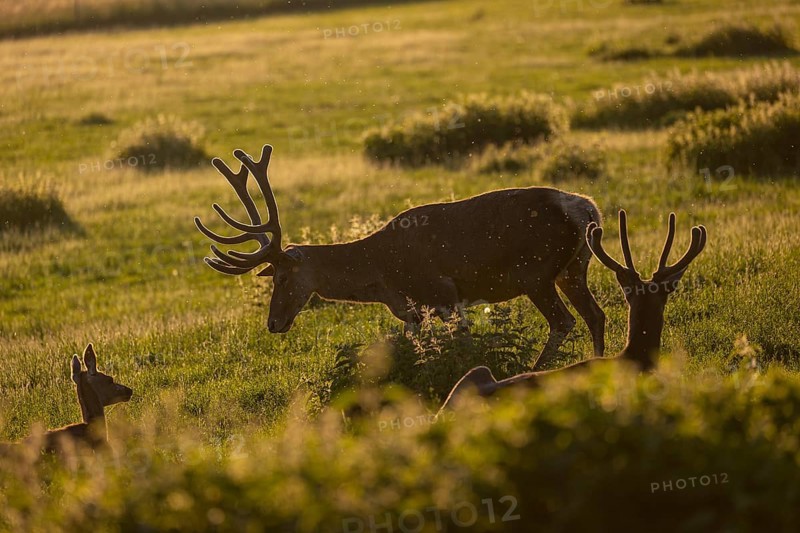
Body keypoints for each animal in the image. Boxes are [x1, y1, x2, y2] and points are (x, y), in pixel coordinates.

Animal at [195, 144, 606, 367]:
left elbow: (464, 346)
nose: (273, 323)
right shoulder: (413, 310)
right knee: (595, 314)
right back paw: (601, 362)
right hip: (573, 268)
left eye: (282, 277)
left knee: (564, 321)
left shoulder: (443, 292)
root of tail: (585, 208)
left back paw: (538, 368)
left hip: (535, 272)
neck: (382, 273)